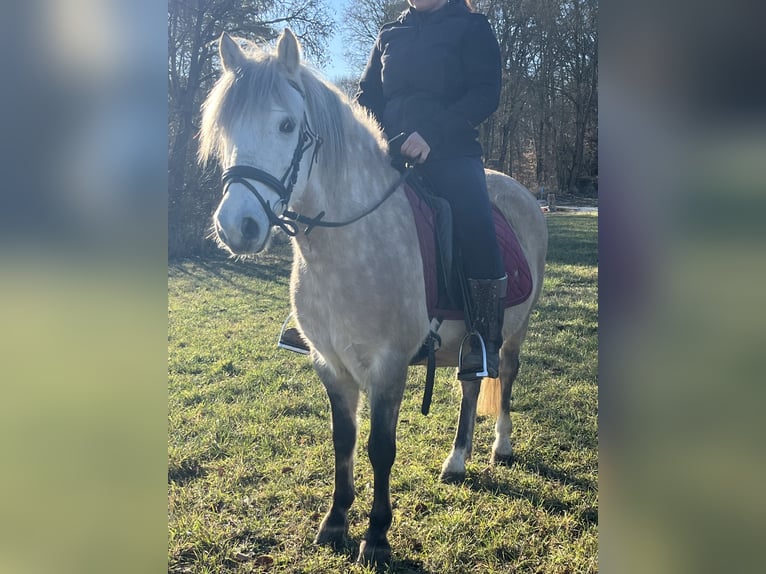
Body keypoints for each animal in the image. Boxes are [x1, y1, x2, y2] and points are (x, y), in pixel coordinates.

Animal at [199, 29, 547, 568]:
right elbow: (343, 441)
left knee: (505, 376)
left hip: (513, 330)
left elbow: (381, 448)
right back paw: (457, 460)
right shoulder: (330, 364)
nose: (238, 227)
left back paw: (501, 446)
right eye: (225, 130)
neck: (350, 244)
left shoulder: (389, 366)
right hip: (469, 343)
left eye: (286, 125)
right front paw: (335, 523)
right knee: (471, 387)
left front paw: (377, 537)